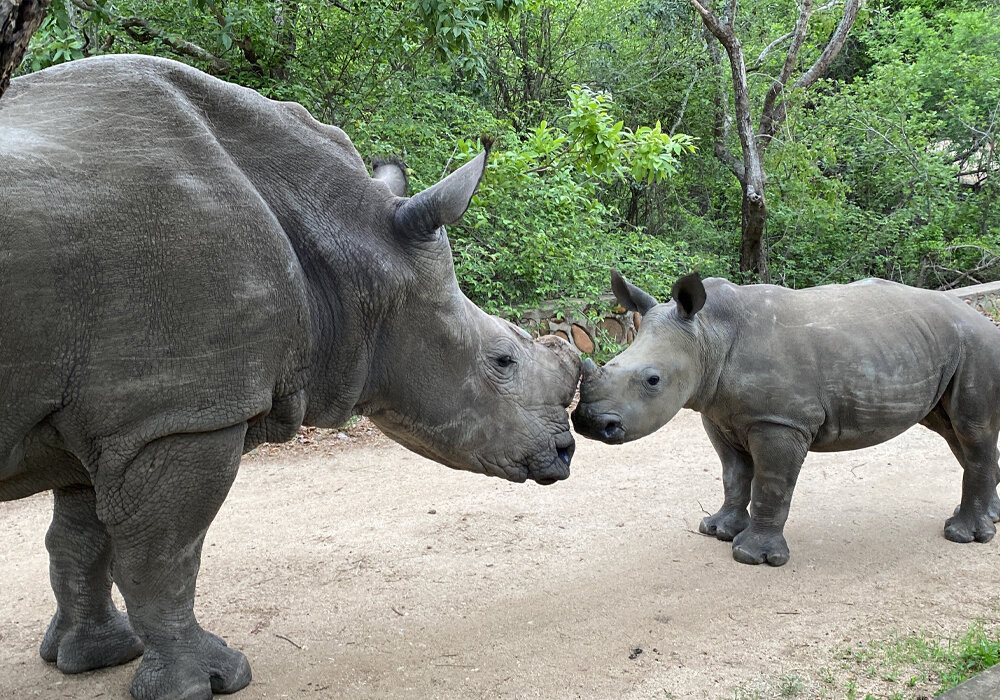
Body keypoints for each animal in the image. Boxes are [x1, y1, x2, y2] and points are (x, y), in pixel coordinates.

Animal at [0, 55, 580, 700]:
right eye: (501, 361)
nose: (566, 451)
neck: (349, 242)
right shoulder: (180, 416)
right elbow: (163, 557)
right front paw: (208, 681)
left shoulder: (119, 415)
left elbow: (81, 541)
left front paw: (96, 657)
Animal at [573, 270, 1000, 566]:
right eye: (611, 363)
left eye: (653, 380)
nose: (590, 423)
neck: (708, 335)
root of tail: (981, 318)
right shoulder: (718, 413)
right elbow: (733, 475)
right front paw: (718, 530)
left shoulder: (780, 421)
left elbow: (770, 484)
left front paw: (753, 556)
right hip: (935, 345)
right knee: (953, 432)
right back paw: (992, 519)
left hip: (976, 345)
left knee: (970, 430)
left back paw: (963, 535)